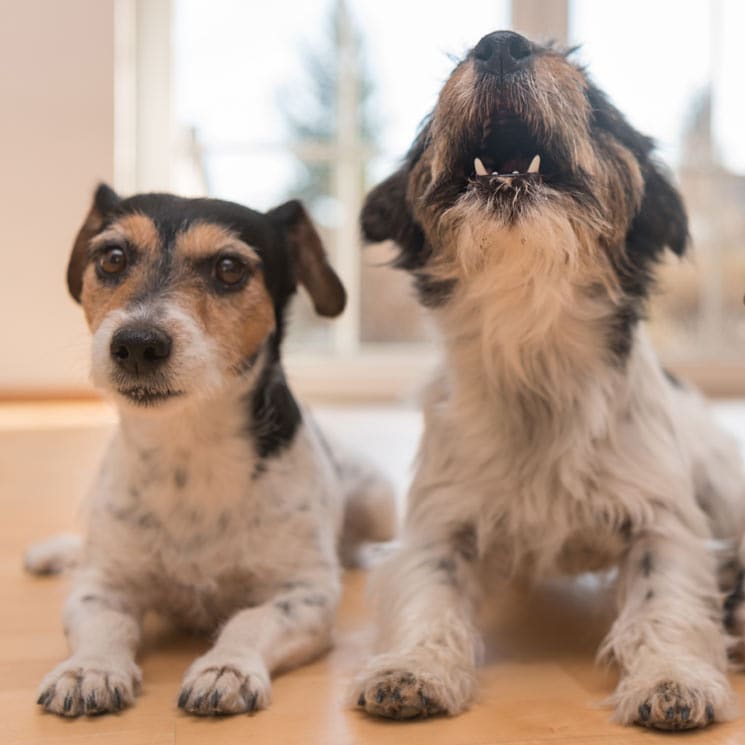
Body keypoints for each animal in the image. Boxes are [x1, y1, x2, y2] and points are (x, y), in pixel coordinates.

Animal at [23, 186, 396, 716]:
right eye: (112, 257)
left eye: (229, 268)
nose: (137, 343)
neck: (188, 448)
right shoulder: (102, 588)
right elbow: (105, 623)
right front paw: (88, 668)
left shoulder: (304, 595)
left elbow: (250, 621)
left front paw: (226, 668)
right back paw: (57, 551)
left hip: (377, 500)